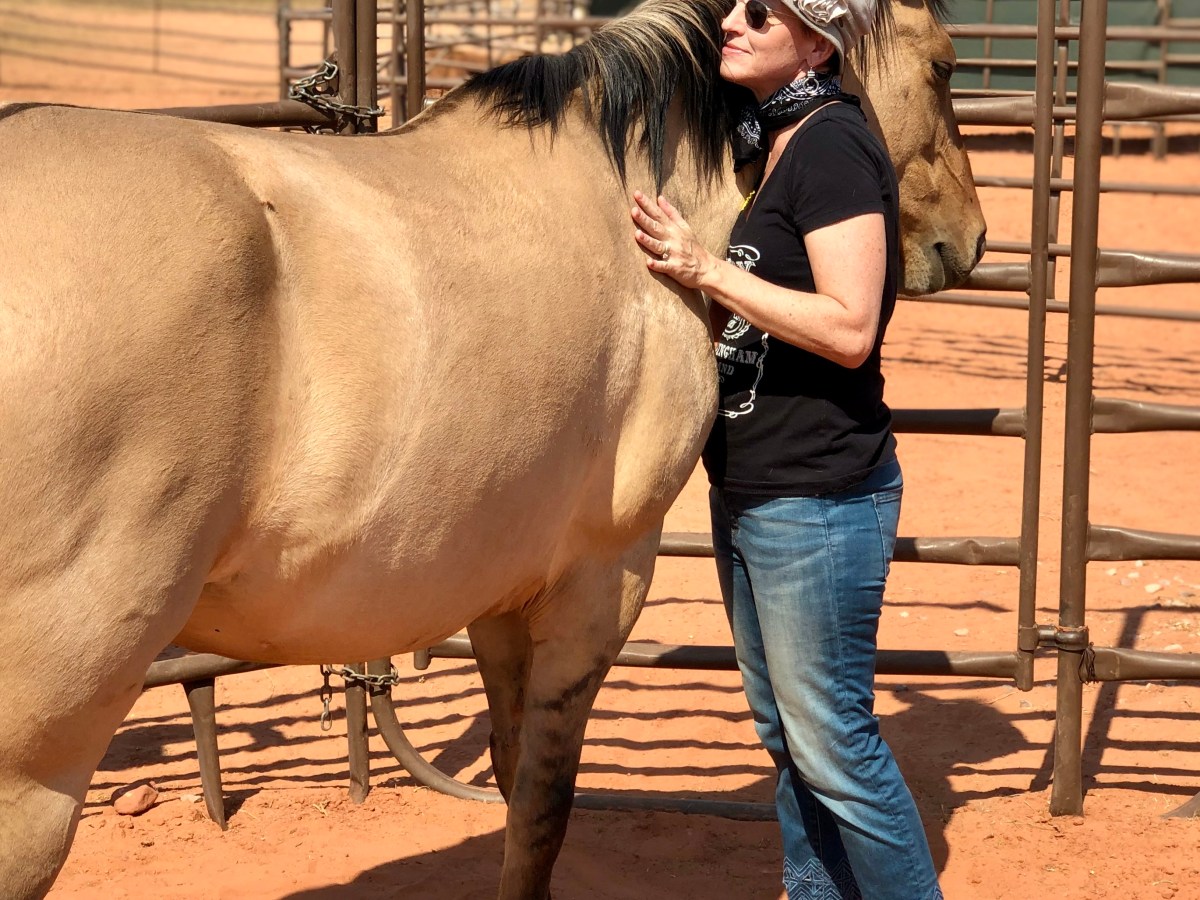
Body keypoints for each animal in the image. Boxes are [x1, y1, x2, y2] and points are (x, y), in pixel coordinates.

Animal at [0, 1, 983, 897]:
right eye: (943, 64)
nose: (968, 238)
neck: (620, 196)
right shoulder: (600, 581)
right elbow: (543, 805)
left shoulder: (502, 590)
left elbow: (514, 781)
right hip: (39, 756)